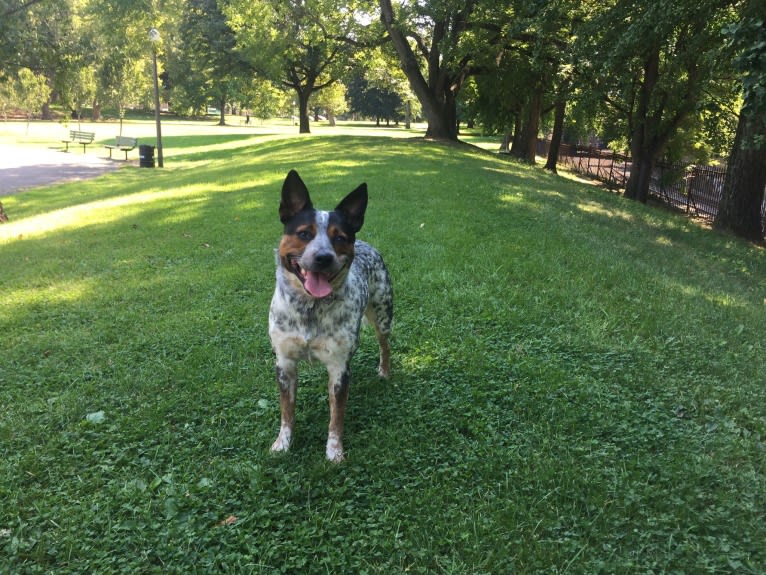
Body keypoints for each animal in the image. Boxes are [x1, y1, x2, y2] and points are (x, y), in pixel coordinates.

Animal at [268, 169, 392, 462]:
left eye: (340, 238)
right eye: (304, 233)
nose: (323, 257)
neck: (309, 308)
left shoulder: (338, 367)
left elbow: (337, 416)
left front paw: (334, 452)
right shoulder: (284, 363)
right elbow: (286, 412)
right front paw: (282, 443)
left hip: (382, 315)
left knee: (385, 345)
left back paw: (385, 371)